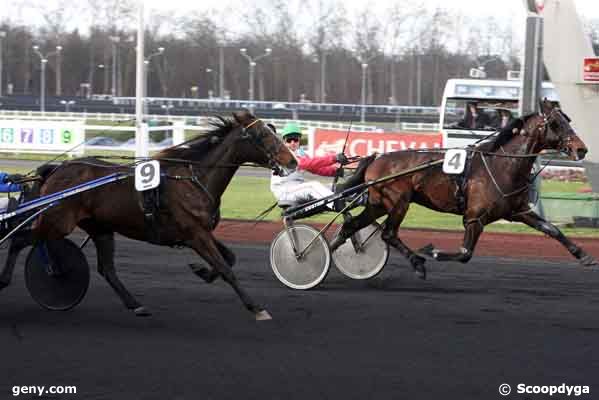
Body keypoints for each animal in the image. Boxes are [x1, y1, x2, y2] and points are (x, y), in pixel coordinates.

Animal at [0, 111, 298, 320]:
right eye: (263, 136)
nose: (293, 161)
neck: (193, 178)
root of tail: (57, 170)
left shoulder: (201, 231)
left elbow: (230, 258)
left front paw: (201, 270)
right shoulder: (195, 234)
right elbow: (226, 268)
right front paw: (256, 308)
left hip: (99, 228)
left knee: (105, 268)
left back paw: (135, 304)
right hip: (58, 221)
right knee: (21, 240)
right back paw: (19, 277)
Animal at [330, 101, 596, 278]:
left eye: (568, 121)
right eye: (556, 124)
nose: (581, 149)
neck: (501, 164)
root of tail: (375, 159)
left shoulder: (519, 211)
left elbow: (552, 230)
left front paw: (585, 256)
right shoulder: (474, 218)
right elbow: (465, 253)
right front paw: (432, 251)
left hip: (377, 204)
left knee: (352, 226)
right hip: (398, 202)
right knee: (388, 233)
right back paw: (417, 262)